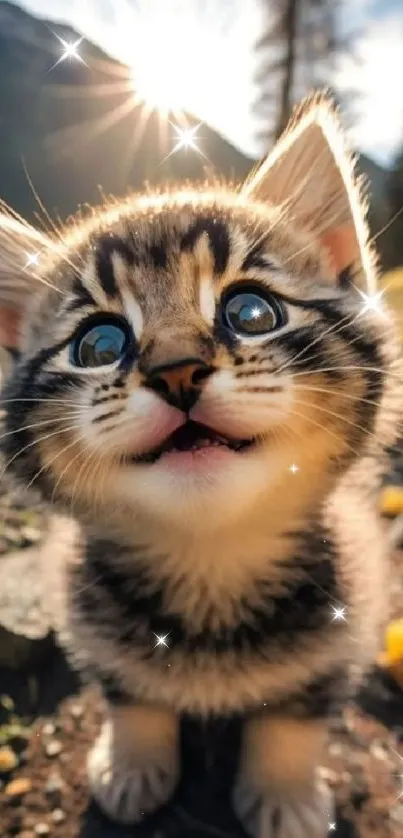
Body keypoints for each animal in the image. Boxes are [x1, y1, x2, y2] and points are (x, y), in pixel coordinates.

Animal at [0, 93, 403, 838]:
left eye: (251, 311)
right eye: (99, 345)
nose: (176, 369)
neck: (210, 559)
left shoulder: (348, 615)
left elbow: (293, 715)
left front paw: (284, 795)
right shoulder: (91, 618)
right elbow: (133, 697)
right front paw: (131, 765)